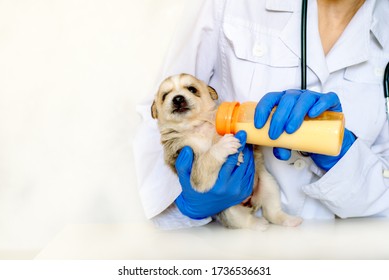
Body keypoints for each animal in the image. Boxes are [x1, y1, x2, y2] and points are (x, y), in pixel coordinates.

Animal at [150, 74, 302, 230]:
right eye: (165, 96)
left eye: (192, 89)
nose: (178, 98)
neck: (196, 126)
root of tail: (250, 203)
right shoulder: (190, 163)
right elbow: (208, 157)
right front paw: (226, 145)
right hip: (227, 207)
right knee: (245, 221)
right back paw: (259, 224)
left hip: (269, 184)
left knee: (272, 212)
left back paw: (290, 220)